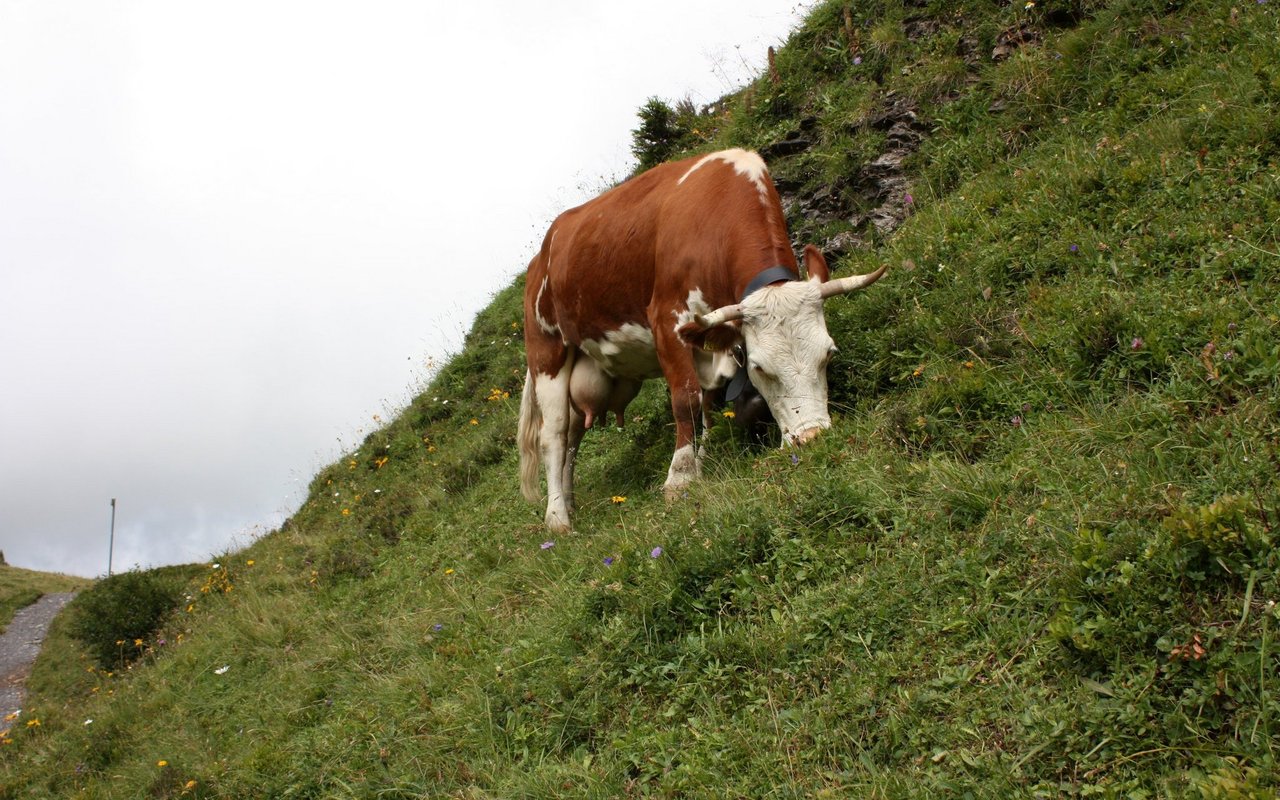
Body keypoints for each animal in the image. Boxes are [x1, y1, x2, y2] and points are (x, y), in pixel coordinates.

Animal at [514, 149, 885, 529]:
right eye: (760, 368)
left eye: (829, 353)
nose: (811, 437)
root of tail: (538, 258)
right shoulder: (668, 320)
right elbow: (686, 401)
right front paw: (680, 478)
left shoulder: (712, 342)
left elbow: (709, 406)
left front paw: (701, 460)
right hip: (546, 351)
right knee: (554, 435)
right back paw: (557, 517)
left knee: (573, 437)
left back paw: (570, 502)